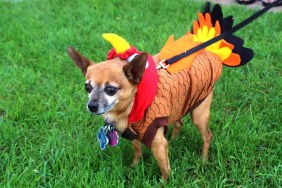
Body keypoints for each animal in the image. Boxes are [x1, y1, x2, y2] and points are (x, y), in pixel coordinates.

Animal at [66, 3, 253, 181]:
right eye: (87, 87)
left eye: (111, 89)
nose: (92, 106)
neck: (131, 107)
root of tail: (209, 48)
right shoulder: (134, 136)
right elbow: (137, 150)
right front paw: (134, 167)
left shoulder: (158, 144)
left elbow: (165, 168)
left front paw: (164, 182)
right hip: (179, 103)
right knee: (179, 123)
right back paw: (175, 140)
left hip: (199, 113)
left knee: (207, 136)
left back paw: (203, 160)